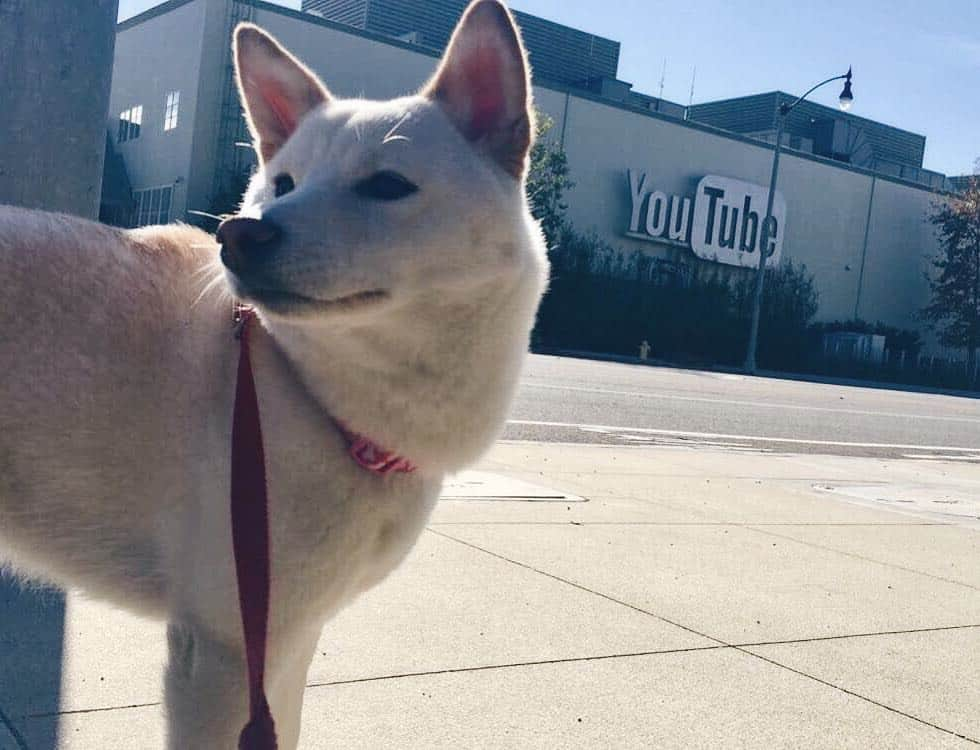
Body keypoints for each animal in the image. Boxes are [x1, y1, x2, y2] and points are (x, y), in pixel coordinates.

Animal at [0, 1, 552, 748]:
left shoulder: (287, 638)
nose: (240, 233)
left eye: (387, 185)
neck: (304, 391)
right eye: (283, 184)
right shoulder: (225, 652)